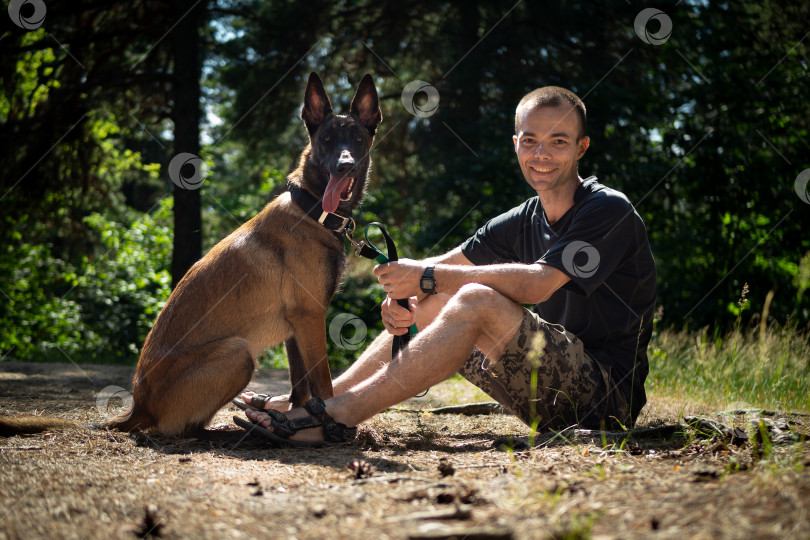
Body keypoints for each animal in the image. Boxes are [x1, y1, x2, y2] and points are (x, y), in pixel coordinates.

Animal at [0, 71, 380, 436]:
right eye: (326, 139)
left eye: (358, 140)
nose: (344, 165)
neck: (312, 209)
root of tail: (138, 405)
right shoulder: (310, 317)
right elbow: (323, 385)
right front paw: (331, 426)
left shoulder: (296, 327)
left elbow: (302, 387)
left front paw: (302, 421)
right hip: (238, 353)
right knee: (175, 429)